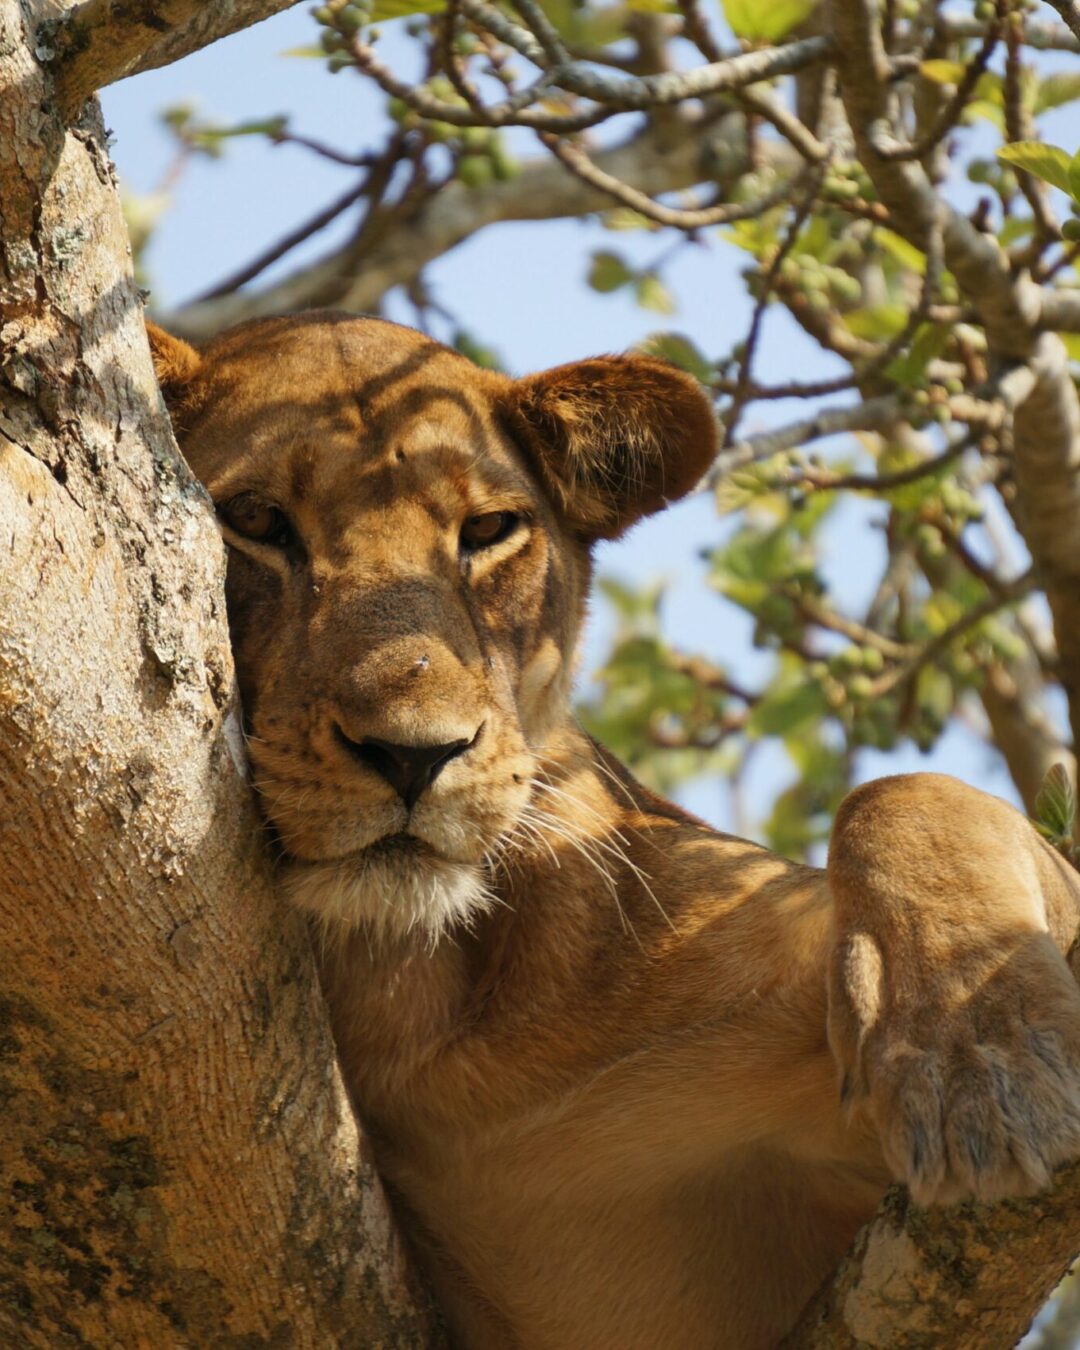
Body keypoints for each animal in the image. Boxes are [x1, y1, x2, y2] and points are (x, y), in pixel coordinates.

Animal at [148, 311, 1080, 1349]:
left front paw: (977, 1055)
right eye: (255, 520)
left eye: (487, 531)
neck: (409, 998)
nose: (414, 755)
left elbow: (904, 794)